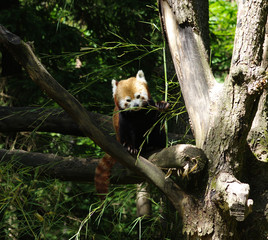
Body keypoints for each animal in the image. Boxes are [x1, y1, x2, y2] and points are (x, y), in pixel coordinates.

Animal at [95, 69, 169, 199]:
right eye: (128, 100)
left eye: (138, 96)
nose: (135, 105)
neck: (137, 114)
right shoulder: (123, 119)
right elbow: (127, 133)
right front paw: (130, 147)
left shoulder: (150, 110)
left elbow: (156, 121)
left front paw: (162, 105)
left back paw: (155, 146)